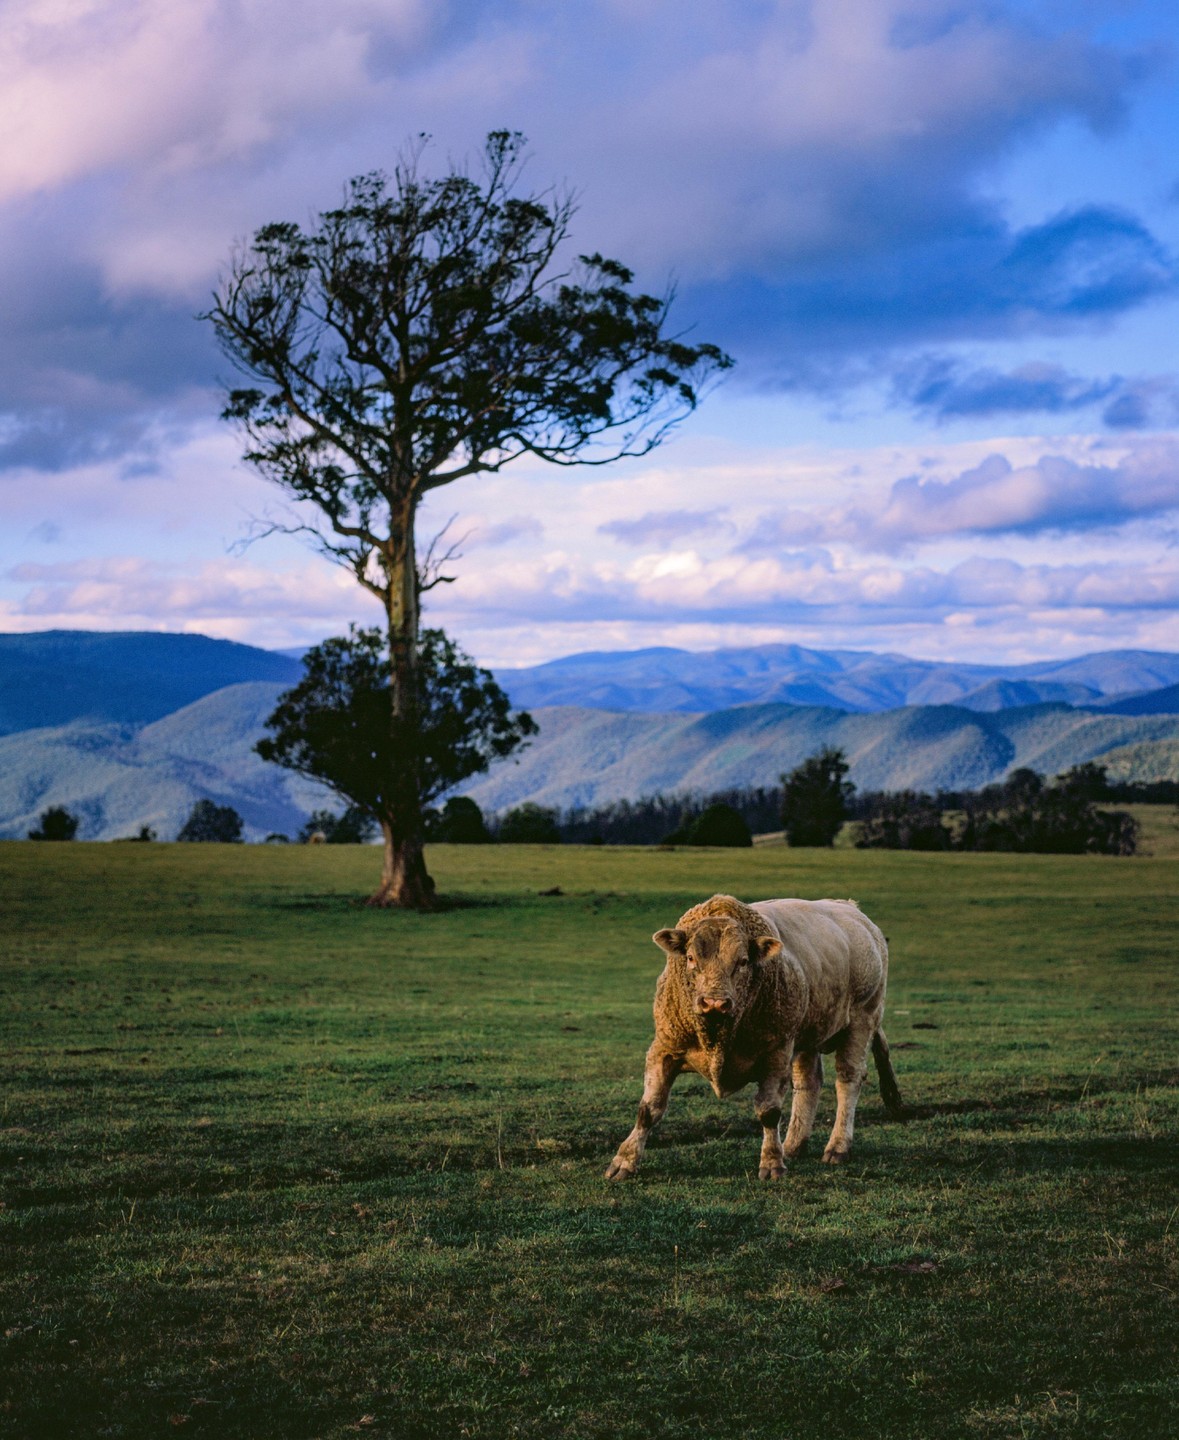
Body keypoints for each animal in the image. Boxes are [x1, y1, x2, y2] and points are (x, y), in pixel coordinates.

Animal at [605, 893, 904, 1180]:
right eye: (690, 958)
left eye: (743, 961)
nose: (715, 1003)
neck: (718, 1037)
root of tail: (852, 910)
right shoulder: (664, 1049)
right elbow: (649, 1109)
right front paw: (624, 1161)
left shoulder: (776, 1053)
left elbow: (769, 1112)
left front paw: (772, 1162)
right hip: (807, 1032)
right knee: (809, 1082)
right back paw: (793, 1145)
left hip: (862, 1018)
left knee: (848, 1079)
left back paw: (838, 1146)